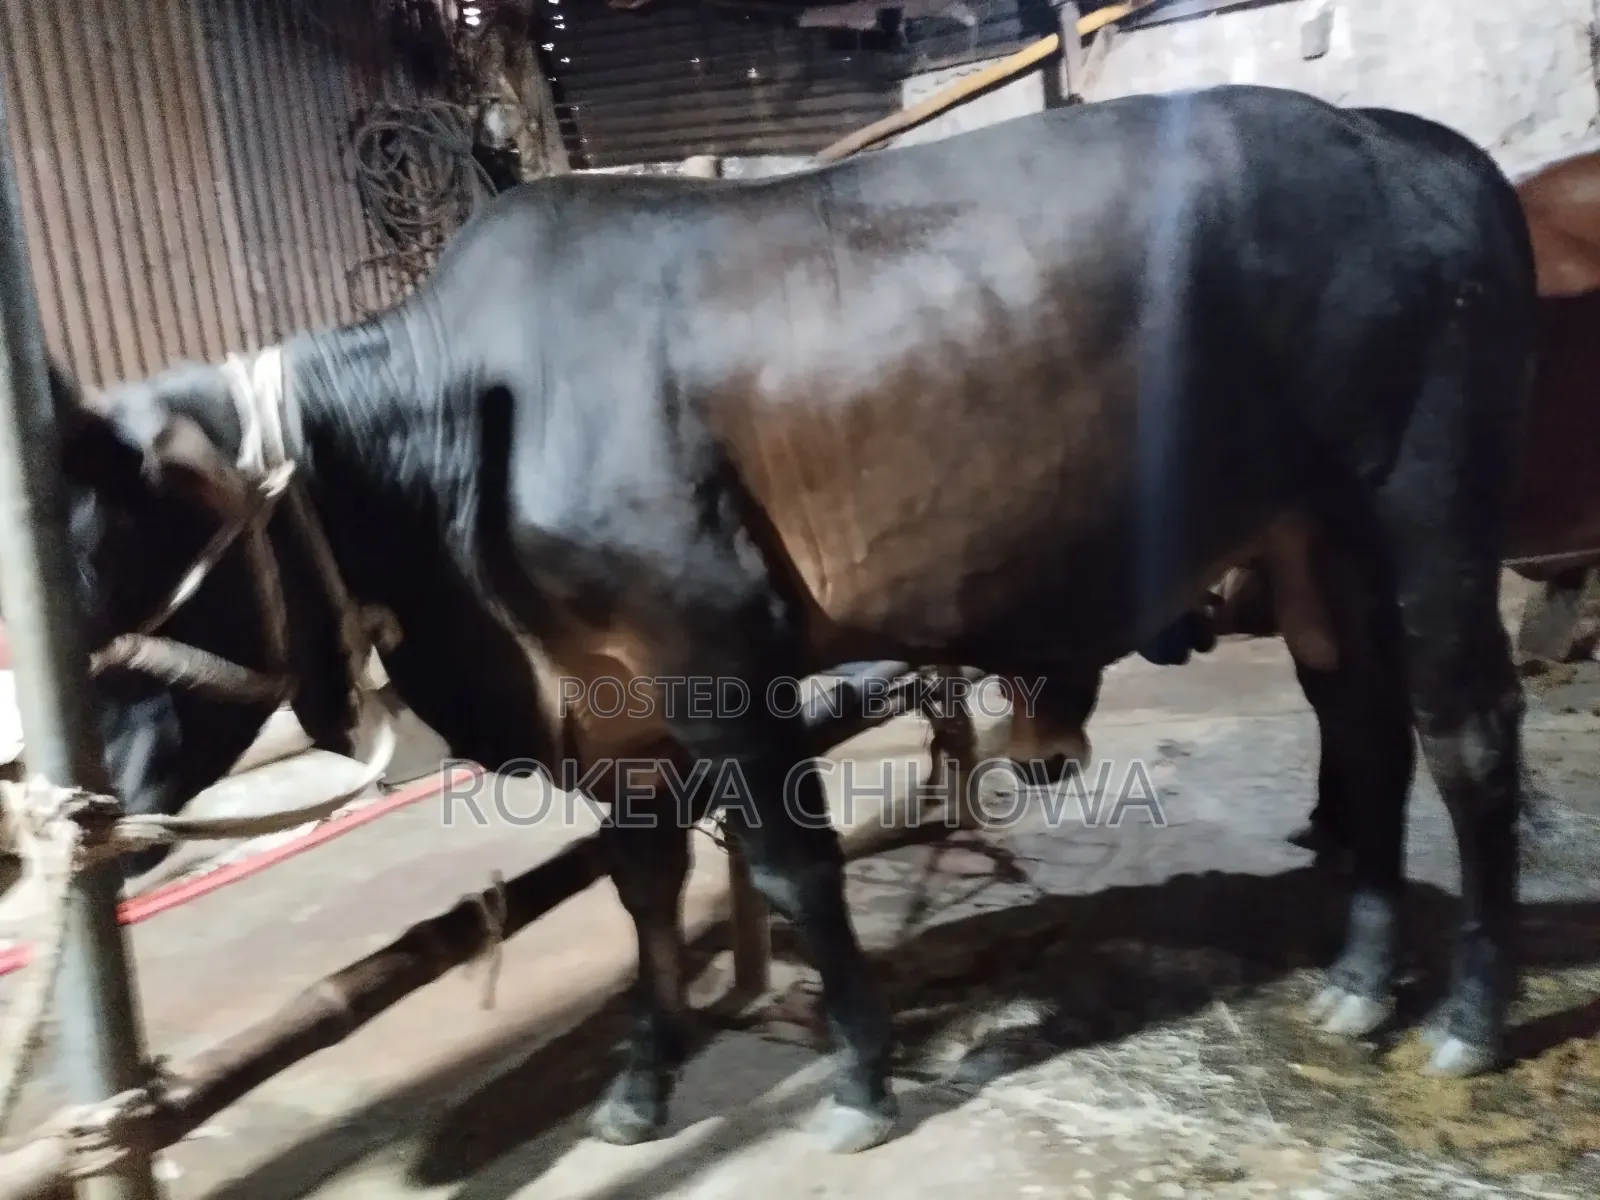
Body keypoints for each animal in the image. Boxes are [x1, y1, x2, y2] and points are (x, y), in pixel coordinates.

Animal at [47, 84, 1534, 1153]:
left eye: (122, 550)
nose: (93, 800)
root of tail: (1419, 145)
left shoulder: (719, 657)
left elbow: (787, 869)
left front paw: (860, 1080)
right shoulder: (613, 712)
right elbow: (644, 887)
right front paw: (642, 1081)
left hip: (1429, 508)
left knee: (1467, 735)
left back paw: (1472, 1015)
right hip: (1310, 538)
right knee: (1365, 729)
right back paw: (1358, 984)